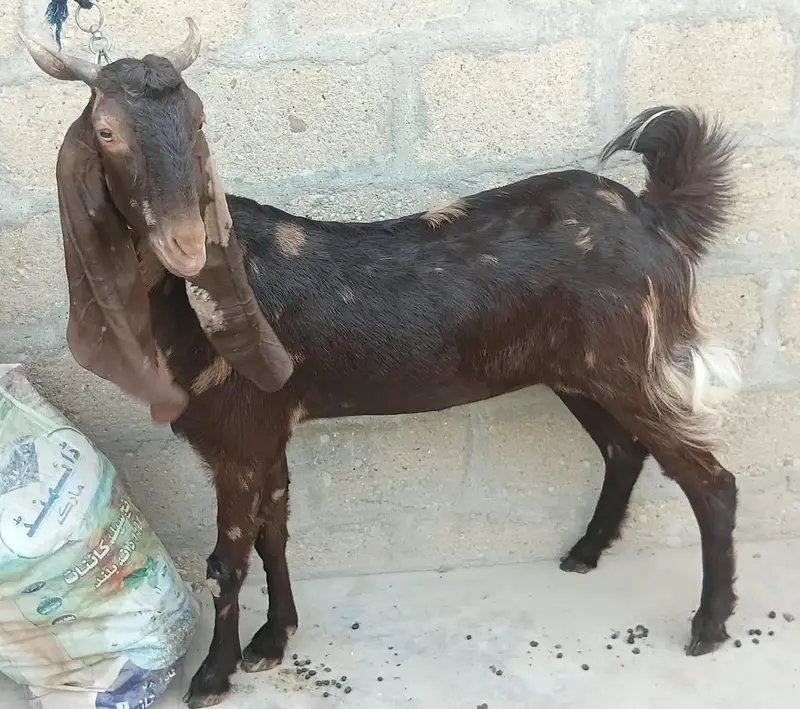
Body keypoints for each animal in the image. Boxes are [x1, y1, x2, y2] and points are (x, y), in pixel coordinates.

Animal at [22, 19, 741, 709]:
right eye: (107, 131)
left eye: (198, 120)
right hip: (580, 372)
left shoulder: (239, 434)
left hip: (631, 363)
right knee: (624, 450)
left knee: (710, 480)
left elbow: (228, 560)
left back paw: (709, 625)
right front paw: (274, 639)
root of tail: (654, 217)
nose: (189, 245)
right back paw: (588, 550)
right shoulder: (267, 430)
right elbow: (274, 531)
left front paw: (213, 675)